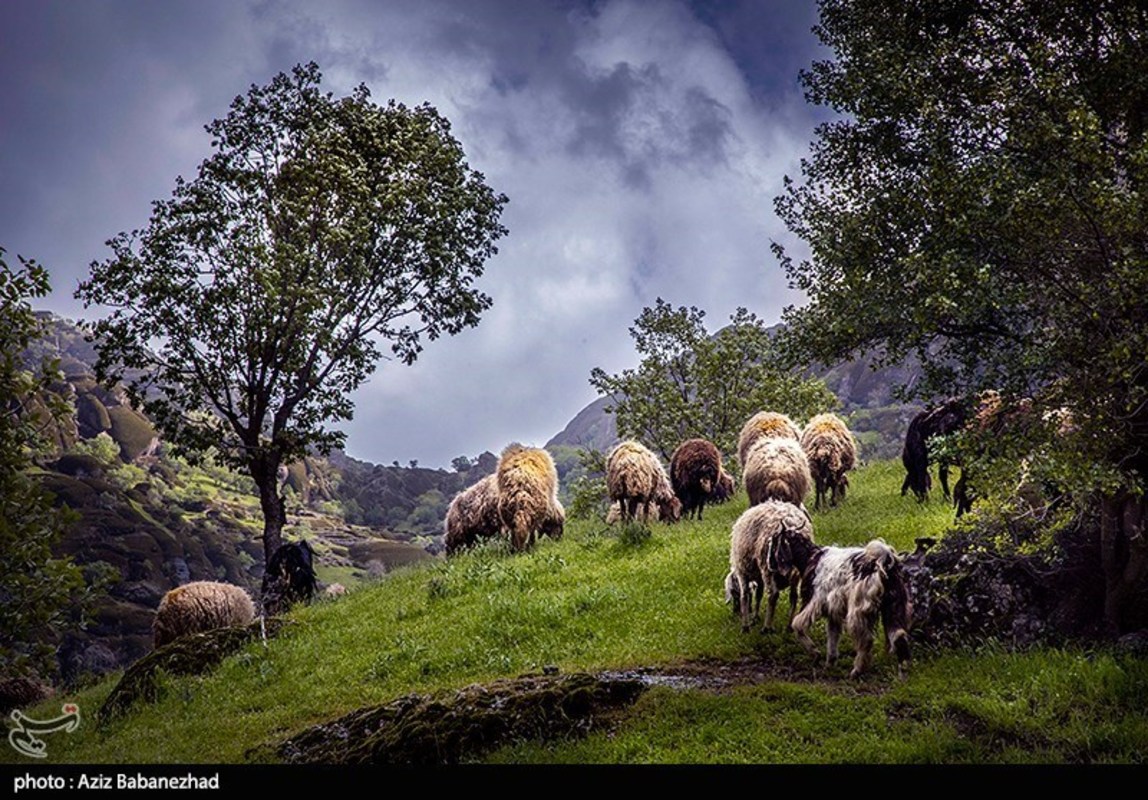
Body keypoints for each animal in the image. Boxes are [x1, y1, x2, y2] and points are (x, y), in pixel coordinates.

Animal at [725, 502, 817, 633]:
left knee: (773, 594)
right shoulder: (759, 578)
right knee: (793, 597)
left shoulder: (742, 572)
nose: (735, 612)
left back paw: (767, 627)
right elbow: (758, 595)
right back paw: (789, 626)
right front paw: (755, 617)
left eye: (733, 592)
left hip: (767, 568)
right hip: (795, 572)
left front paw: (745, 626)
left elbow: (745, 596)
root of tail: (790, 523)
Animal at [789, 539, 913, 674]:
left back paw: (857, 670)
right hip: (893, 608)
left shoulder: (813, 601)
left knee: (867, 640)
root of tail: (883, 563)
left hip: (858, 612)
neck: (810, 555)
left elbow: (797, 624)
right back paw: (903, 673)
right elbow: (832, 638)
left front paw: (814, 653)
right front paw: (829, 664)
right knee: (899, 637)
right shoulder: (833, 612)